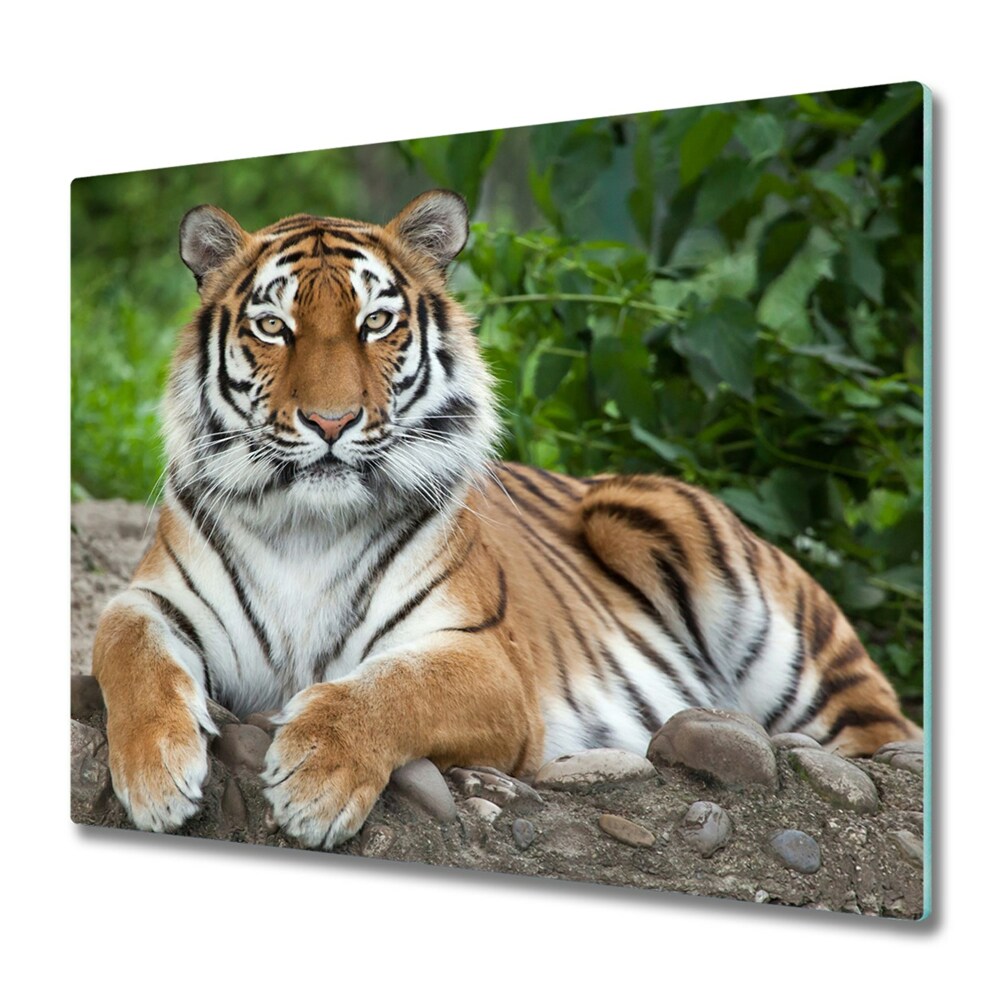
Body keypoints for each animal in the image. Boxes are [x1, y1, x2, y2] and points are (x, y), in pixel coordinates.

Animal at [91, 189, 922, 849]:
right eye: (274, 328)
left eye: (376, 323)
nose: (331, 422)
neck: (307, 529)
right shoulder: (153, 599)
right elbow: (127, 649)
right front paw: (156, 777)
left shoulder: (487, 659)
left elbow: (389, 688)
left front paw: (315, 779)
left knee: (883, 733)